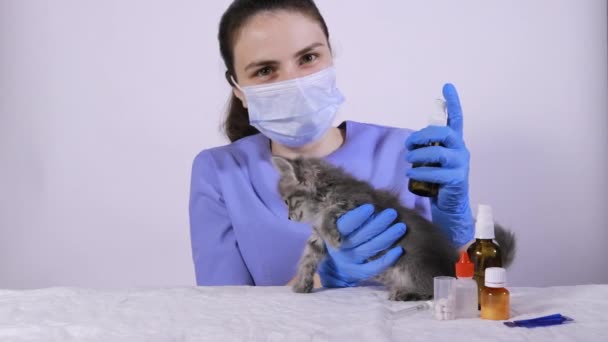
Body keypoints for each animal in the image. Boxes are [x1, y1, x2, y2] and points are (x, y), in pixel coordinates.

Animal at [270, 156, 512, 300]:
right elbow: (308, 257)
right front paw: (302, 283)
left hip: (411, 267)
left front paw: (334, 238)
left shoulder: (359, 203)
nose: (289, 217)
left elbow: (330, 214)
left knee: (433, 291)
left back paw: (406, 293)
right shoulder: (316, 238)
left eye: (287, 202)